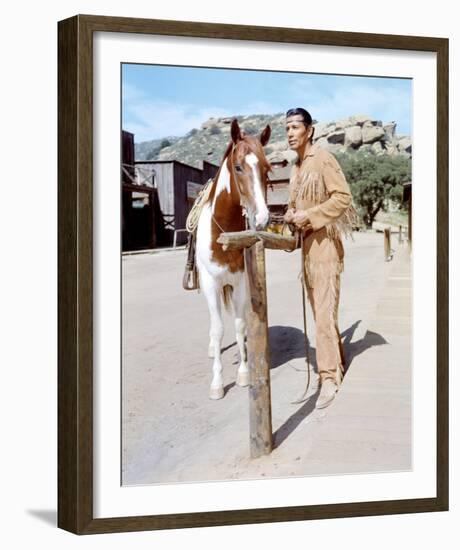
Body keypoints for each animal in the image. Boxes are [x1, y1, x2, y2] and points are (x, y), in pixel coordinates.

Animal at [196, 117, 272, 402]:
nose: (262, 218)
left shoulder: (240, 283)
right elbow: (218, 330)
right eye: (238, 167)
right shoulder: (210, 283)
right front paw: (217, 384)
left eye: (267, 169)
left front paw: (244, 373)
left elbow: (240, 326)